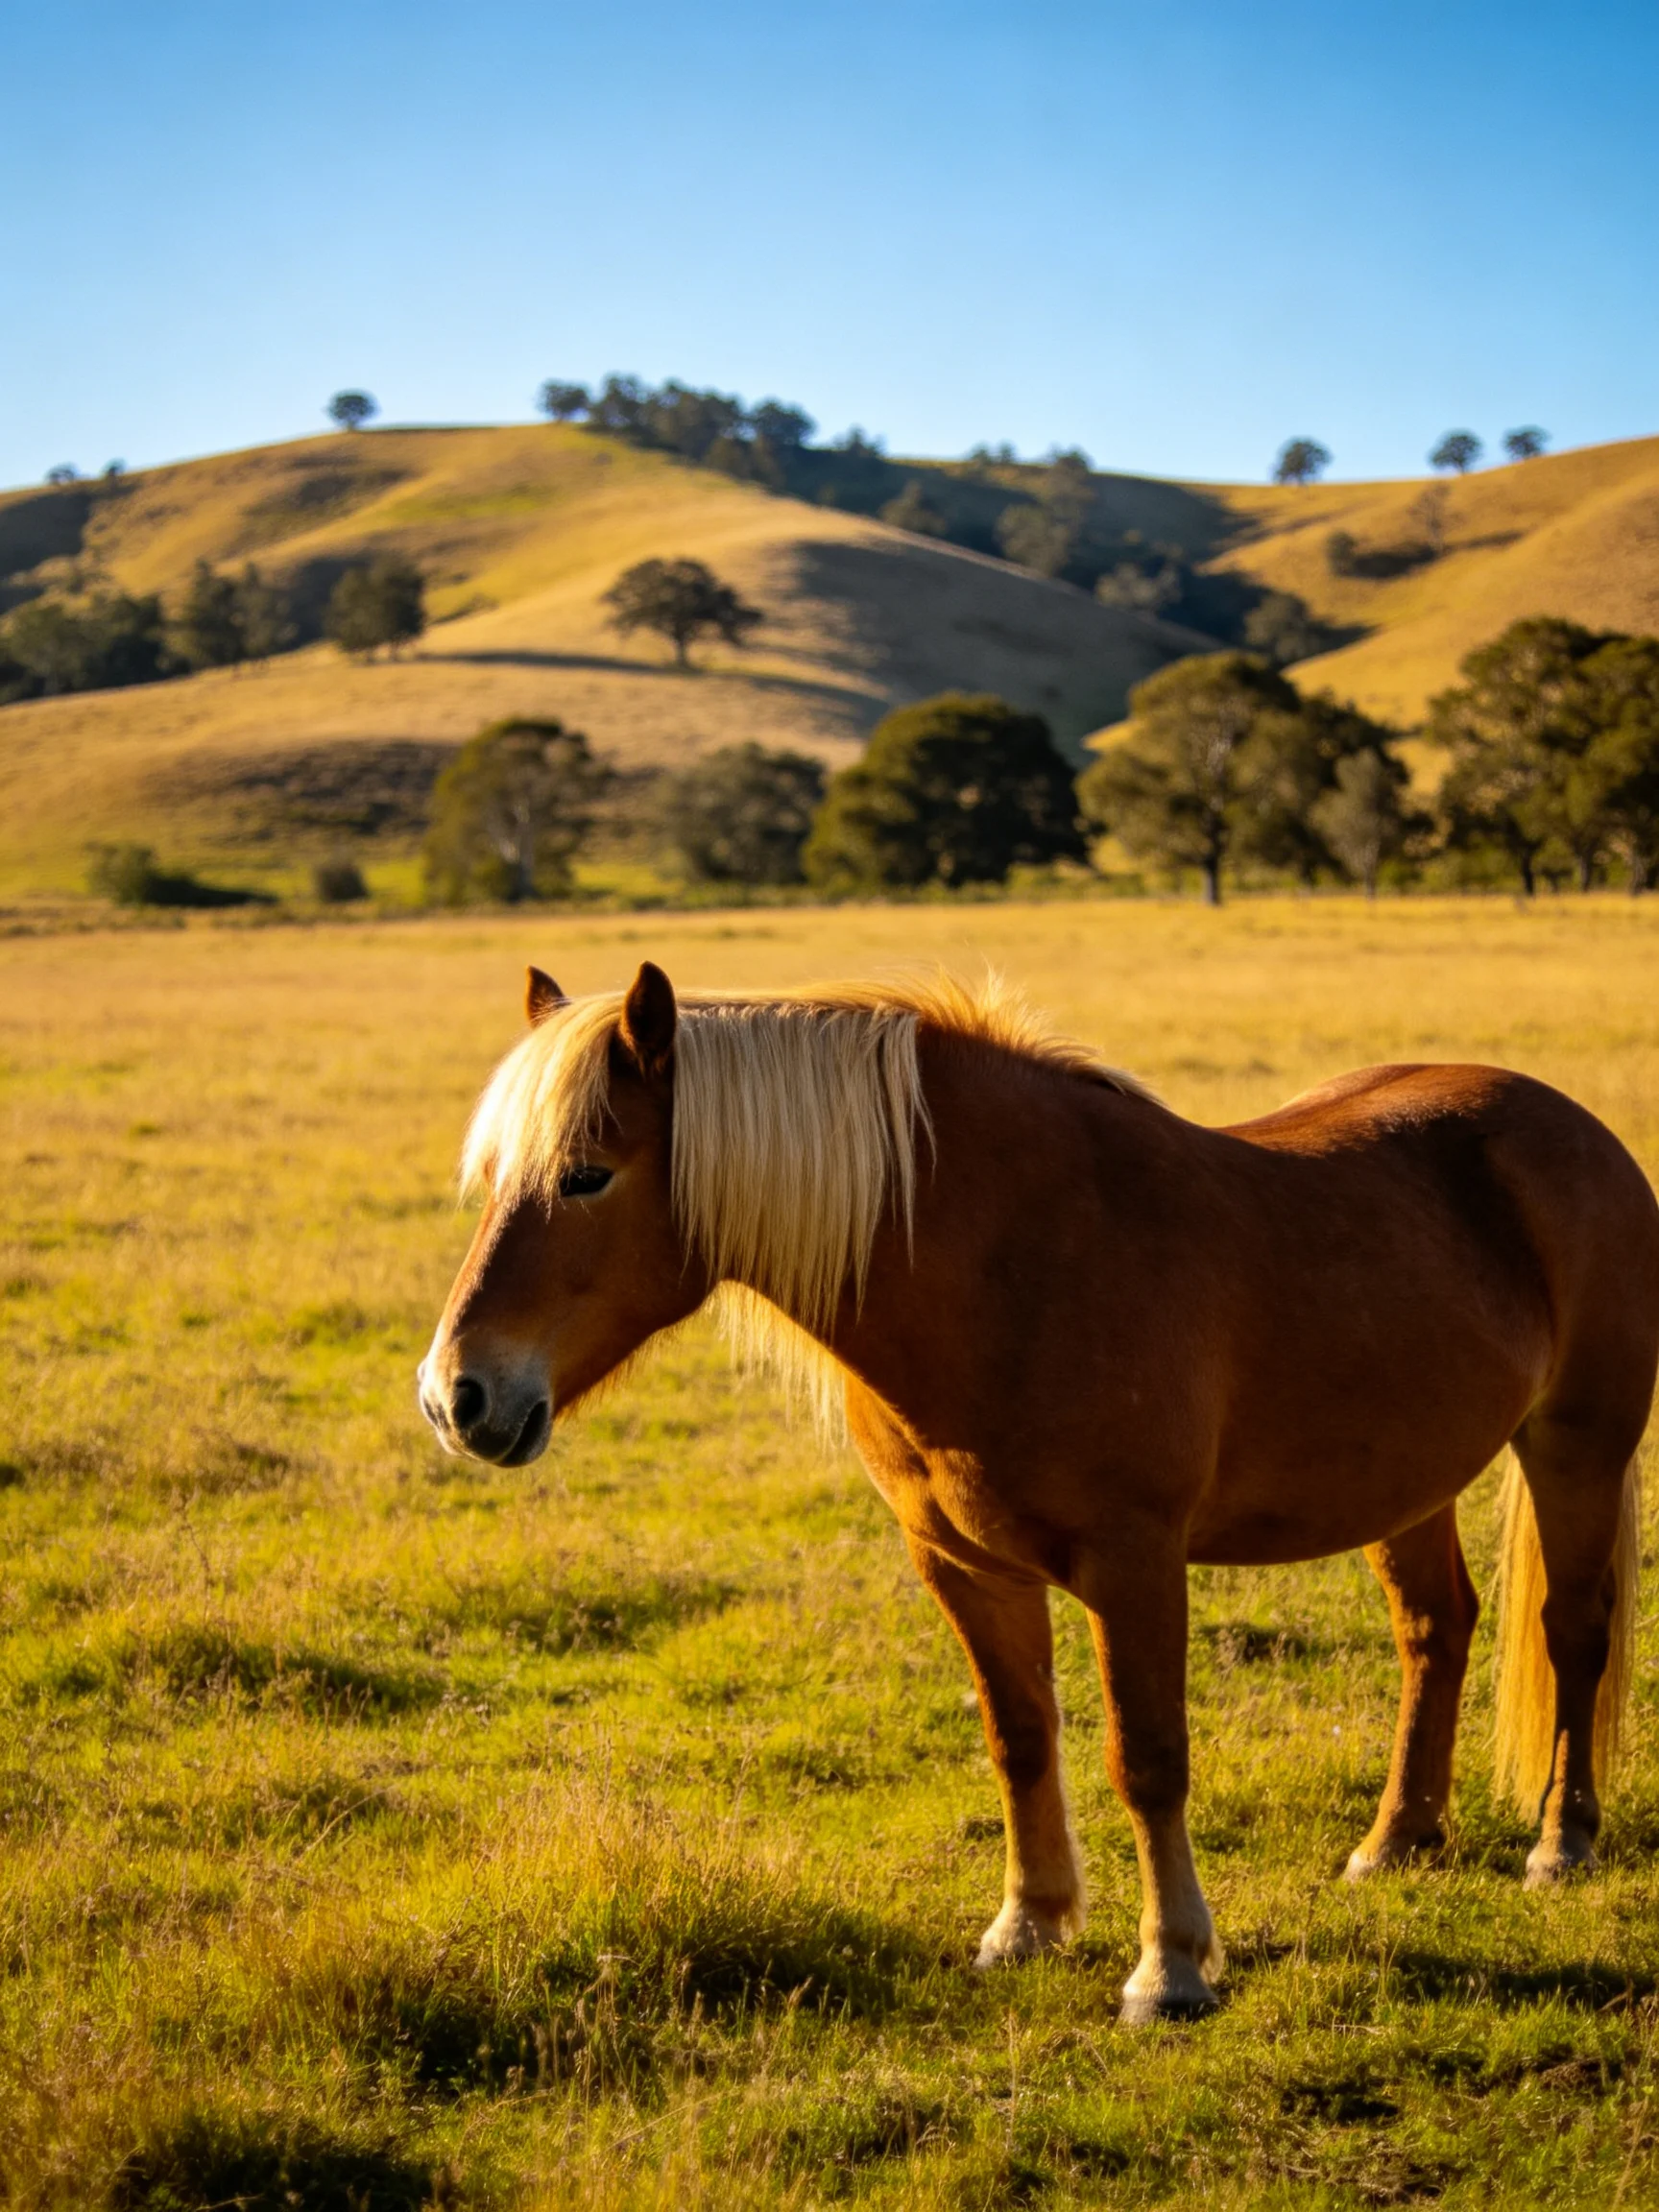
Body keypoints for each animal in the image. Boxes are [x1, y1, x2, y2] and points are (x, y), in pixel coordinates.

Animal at [419, 960, 1659, 2024]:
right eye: (493, 1182)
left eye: (587, 1174)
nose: (456, 1397)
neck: (1011, 1261)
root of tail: (1573, 1128)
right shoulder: (962, 1564)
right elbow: (1019, 1736)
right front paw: (1030, 1925)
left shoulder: (1136, 1562)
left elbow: (1147, 1758)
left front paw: (1170, 1970)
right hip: (1408, 1483)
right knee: (1434, 1628)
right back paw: (1396, 1842)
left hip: (1576, 1447)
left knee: (1574, 1630)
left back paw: (1562, 1844)